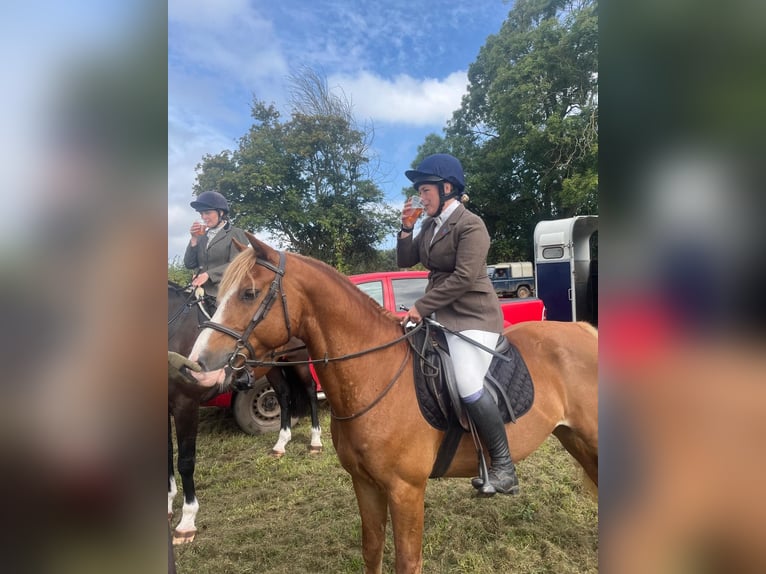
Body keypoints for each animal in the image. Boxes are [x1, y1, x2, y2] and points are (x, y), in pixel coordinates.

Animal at [167, 282, 322, 544]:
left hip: (299, 360)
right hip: (272, 367)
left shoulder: (185, 404)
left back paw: (315, 441)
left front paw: (186, 522)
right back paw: (280, 444)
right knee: (282, 396)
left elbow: (185, 462)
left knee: (311, 393)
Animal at [189, 234, 599, 574]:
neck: (374, 373)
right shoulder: (366, 484)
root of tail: (582, 329)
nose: (199, 364)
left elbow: (407, 560)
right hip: (573, 438)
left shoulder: (406, 490)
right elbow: (372, 550)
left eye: (248, 293)